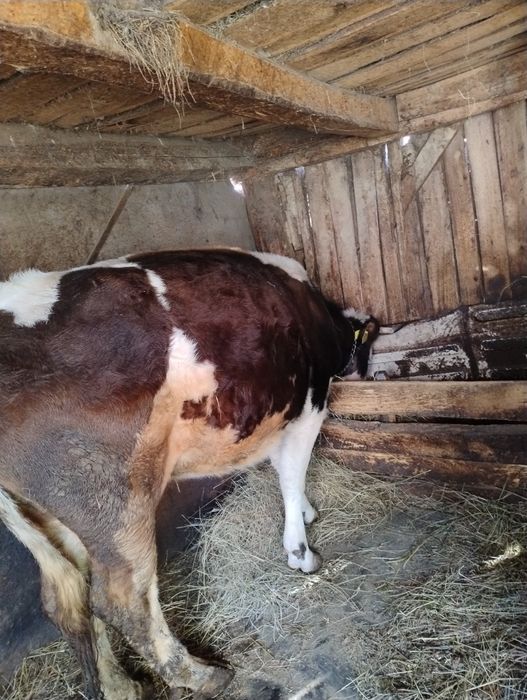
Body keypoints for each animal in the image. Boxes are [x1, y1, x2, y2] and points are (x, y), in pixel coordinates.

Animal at [0, 249, 379, 699]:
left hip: (53, 518)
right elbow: (291, 473)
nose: (367, 372)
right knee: (122, 602)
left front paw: (304, 513)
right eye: (368, 344)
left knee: (70, 600)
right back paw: (204, 675)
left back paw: (120, 685)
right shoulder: (309, 402)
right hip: (115, 501)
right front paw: (300, 551)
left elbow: (281, 466)